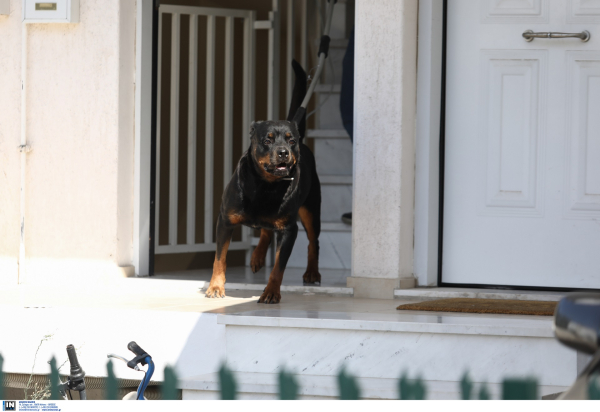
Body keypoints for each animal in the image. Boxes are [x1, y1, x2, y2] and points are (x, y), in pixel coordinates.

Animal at [204, 61, 322, 302]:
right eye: (267, 140)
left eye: (291, 141)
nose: (284, 152)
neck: (266, 186)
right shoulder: (225, 220)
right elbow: (220, 258)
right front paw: (216, 287)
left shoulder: (288, 230)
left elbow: (278, 266)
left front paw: (271, 292)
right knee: (266, 230)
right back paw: (257, 256)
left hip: (311, 210)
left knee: (313, 242)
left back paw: (312, 272)